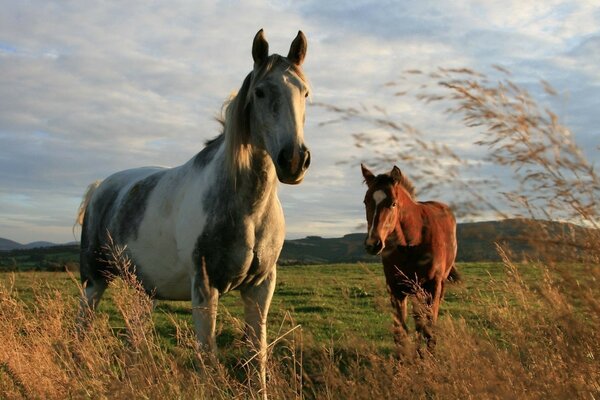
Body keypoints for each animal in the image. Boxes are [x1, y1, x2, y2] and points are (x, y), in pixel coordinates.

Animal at [364, 164, 458, 354]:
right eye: (365, 202)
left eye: (393, 203)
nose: (373, 244)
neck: (411, 242)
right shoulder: (396, 288)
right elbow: (400, 330)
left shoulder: (432, 286)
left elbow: (429, 325)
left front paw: (428, 355)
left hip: (437, 285)